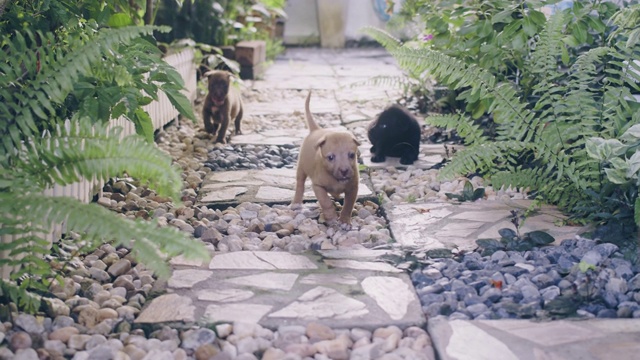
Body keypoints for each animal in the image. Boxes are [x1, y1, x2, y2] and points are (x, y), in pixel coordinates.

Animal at [294, 91, 362, 229]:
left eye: (351, 155)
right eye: (330, 157)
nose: (344, 171)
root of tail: (316, 130)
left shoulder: (353, 188)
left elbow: (348, 205)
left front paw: (345, 221)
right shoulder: (318, 186)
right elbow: (326, 202)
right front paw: (331, 218)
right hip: (301, 168)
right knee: (300, 184)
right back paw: (296, 203)